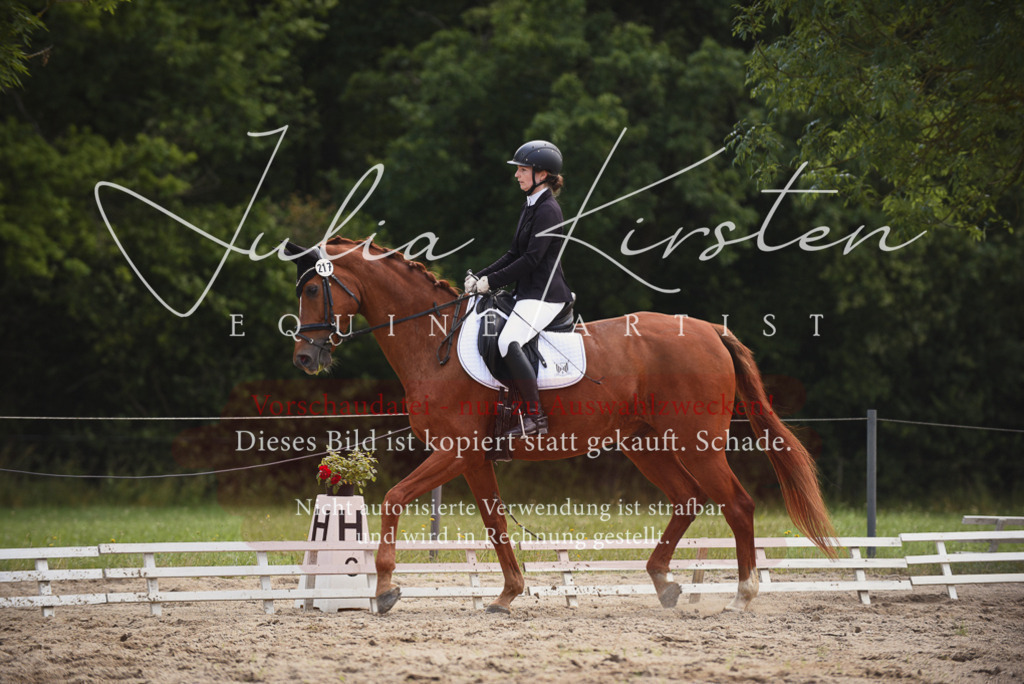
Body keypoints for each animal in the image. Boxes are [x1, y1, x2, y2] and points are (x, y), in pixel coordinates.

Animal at [286, 237, 837, 615]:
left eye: (313, 289)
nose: (304, 359)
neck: (432, 343)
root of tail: (710, 331)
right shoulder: (474, 458)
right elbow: (495, 523)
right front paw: (507, 595)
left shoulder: (456, 451)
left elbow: (395, 497)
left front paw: (384, 589)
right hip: (645, 444)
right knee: (688, 500)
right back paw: (664, 582)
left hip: (695, 443)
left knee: (737, 505)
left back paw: (741, 596)